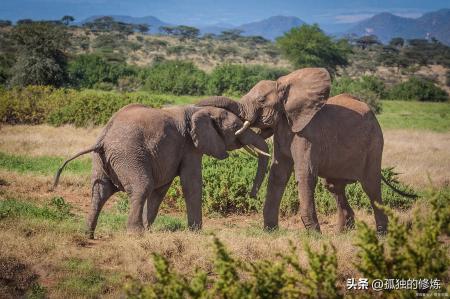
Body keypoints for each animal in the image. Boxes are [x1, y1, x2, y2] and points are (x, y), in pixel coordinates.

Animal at [52, 102, 270, 240]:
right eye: (236, 127)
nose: (252, 194)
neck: (201, 110)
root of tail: (104, 137)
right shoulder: (189, 146)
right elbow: (191, 184)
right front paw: (196, 233)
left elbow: (161, 189)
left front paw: (150, 229)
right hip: (129, 154)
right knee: (141, 187)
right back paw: (135, 234)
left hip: (101, 160)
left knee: (100, 192)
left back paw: (88, 234)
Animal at [197, 68, 414, 234]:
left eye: (261, 100)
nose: (252, 195)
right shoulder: (284, 128)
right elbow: (278, 174)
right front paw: (270, 231)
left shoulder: (307, 134)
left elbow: (305, 175)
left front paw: (314, 235)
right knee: (334, 187)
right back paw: (341, 233)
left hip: (375, 143)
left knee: (371, 186)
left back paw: (381, 234)